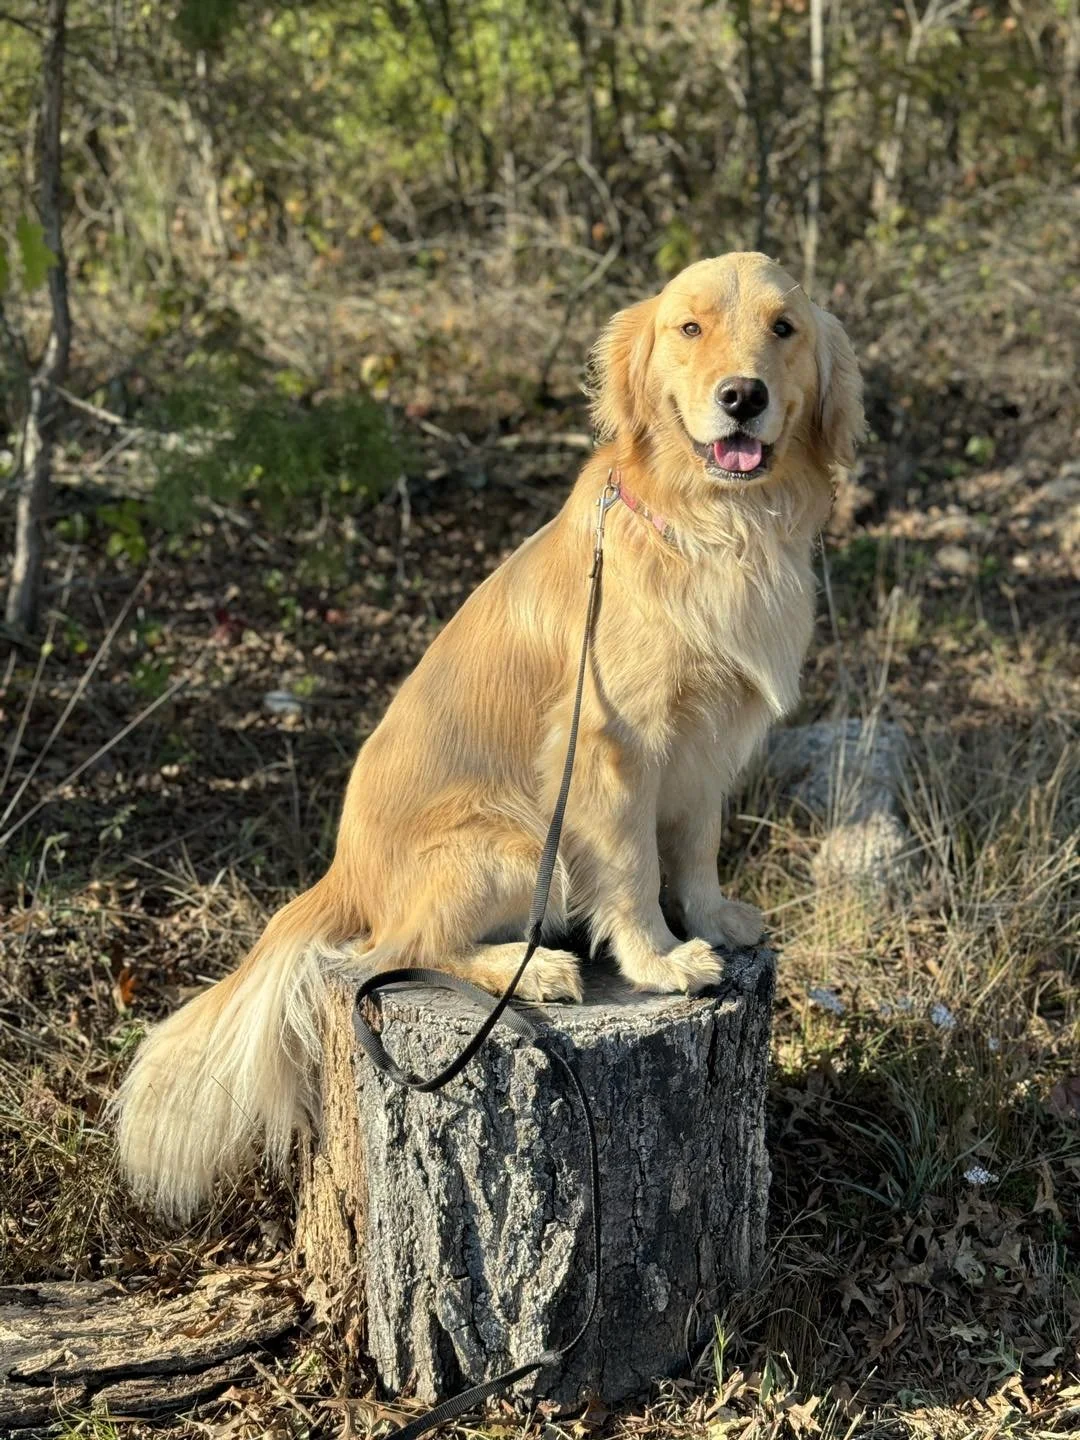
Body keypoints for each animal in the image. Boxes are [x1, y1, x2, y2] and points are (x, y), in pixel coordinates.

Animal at [114, 252, 865, 1220]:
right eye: (689, 328)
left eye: (784, 329)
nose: (743, 396)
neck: (716, 529)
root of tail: (341, 871)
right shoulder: (616, 748)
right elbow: (635, 870)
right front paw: (659, 961)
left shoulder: (706, 749)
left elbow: (695, 851)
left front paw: (712, 920)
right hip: (508, 848)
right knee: (394, 953)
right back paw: (532, 967)